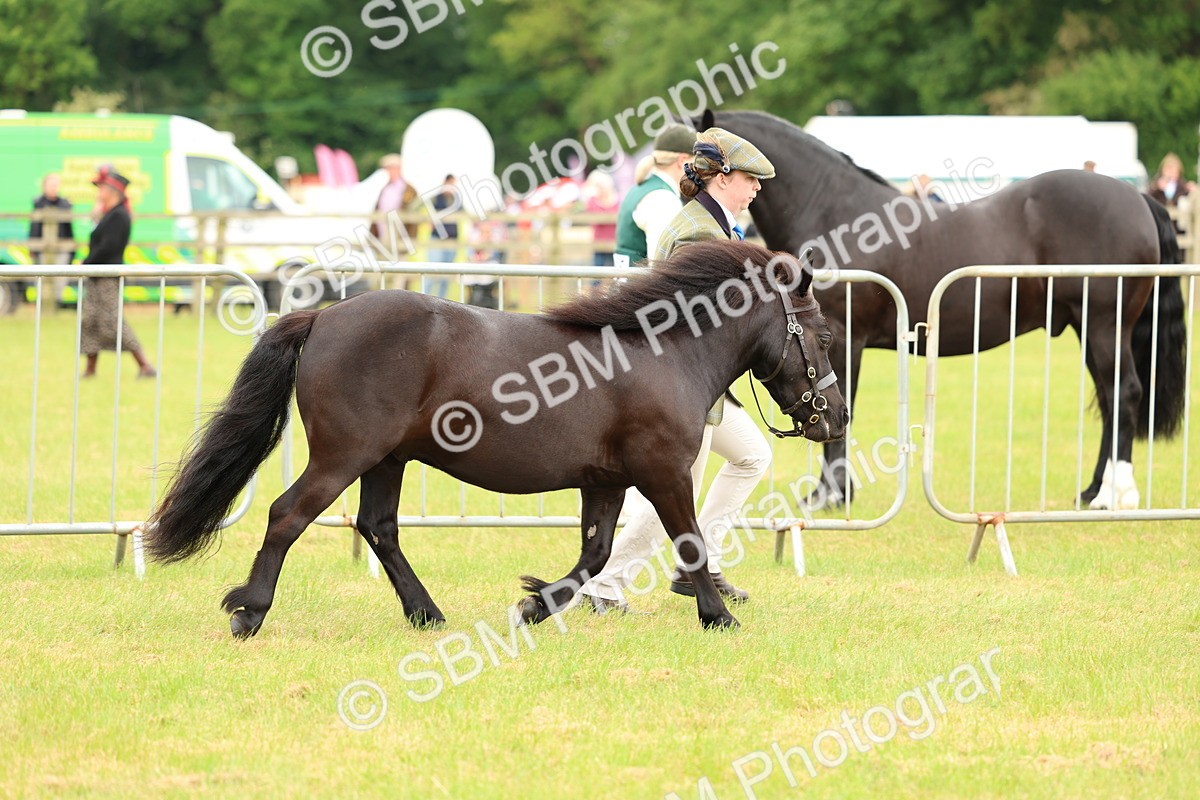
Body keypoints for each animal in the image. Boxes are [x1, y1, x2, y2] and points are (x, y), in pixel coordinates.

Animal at [145, 240, 848, 636]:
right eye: (821, 334)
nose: (835, 417)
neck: (662, 351)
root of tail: (322, 316)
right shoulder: (663, 474)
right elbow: (691, 543)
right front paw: (719, 616)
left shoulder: (606, 483)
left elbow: (595, 555)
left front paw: (536, 607)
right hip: (345, 456)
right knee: (288, 514)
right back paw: (249, 611)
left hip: (387, 461)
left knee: (378, 527)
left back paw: (426, 613)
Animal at [703, 110, 1188, 510]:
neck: (832, 210)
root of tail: (1139, 199)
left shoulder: (839, 336)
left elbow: (836, 406)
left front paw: (831, 496)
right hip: (1089, 329)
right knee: (1109, 399)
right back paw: (1091, 491)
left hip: (1105, 325)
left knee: (1124, 394)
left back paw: (1113, 495)